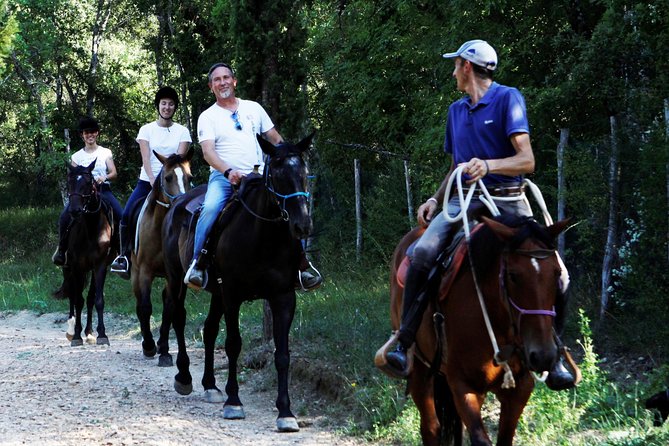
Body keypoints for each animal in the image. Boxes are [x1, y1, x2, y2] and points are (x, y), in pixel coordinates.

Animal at [54, 160, 115, 344]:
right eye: (70, 182)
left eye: (88, 183)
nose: (75, 211)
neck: (91, 228)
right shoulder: (76, 266)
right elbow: (78, 300)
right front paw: (75, 336)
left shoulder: (99, 266)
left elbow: (96, 299)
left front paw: (101, 334)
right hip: (67, 269)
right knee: (72, 297)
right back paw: (71, 330)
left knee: (88, 298)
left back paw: (88, 332)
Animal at [130, 148, 193, 364]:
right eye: (168, 177)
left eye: (189, 177)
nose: (181, 202)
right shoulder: (144, 272)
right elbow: (146, 307)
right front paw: (148, 346)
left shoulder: (176, 275)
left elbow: (170, 308)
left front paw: (164, 350)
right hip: (135, 273)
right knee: (139, 303)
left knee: (166, 301)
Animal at [161, 133, 314, 432]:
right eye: (276, 174)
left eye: (303, 173)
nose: (302, 225)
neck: (264, 238)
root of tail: (178, 202)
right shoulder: (233, 294)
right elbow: (233, 344)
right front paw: (234, 402)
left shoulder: (283, 297)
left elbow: (282, 354)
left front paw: (286, 412)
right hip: (177, 280)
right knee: (179, 317)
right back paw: (184, 377)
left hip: (216, 293)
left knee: (209, 329)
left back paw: (210, 385)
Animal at [378, 214, 572, 444]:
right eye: (513, 275)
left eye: (557, 273)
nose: (543, 355)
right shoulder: (463, 386)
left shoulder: (520, 388)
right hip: (419, 368)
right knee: (430, 428)